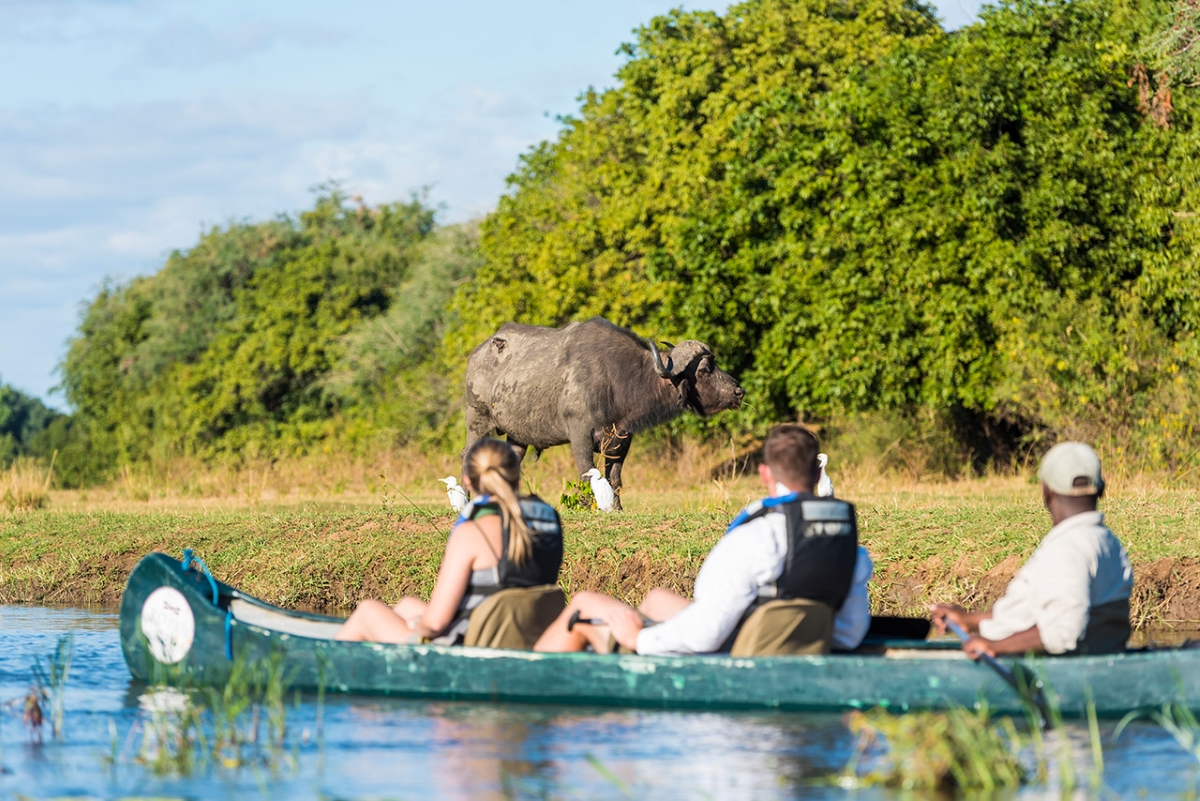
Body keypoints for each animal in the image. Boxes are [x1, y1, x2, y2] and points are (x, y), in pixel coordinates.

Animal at [465, 316, 739, 510]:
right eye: (704, 369)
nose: (739, 391)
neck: (615, 379)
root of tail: (477, 353)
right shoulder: (580, 435)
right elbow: (586, 475)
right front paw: (589, 507)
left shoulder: (622, 439)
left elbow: (614, 478)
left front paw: (616, 508)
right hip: (477, 420)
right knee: (467, 455)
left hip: (517, 437)